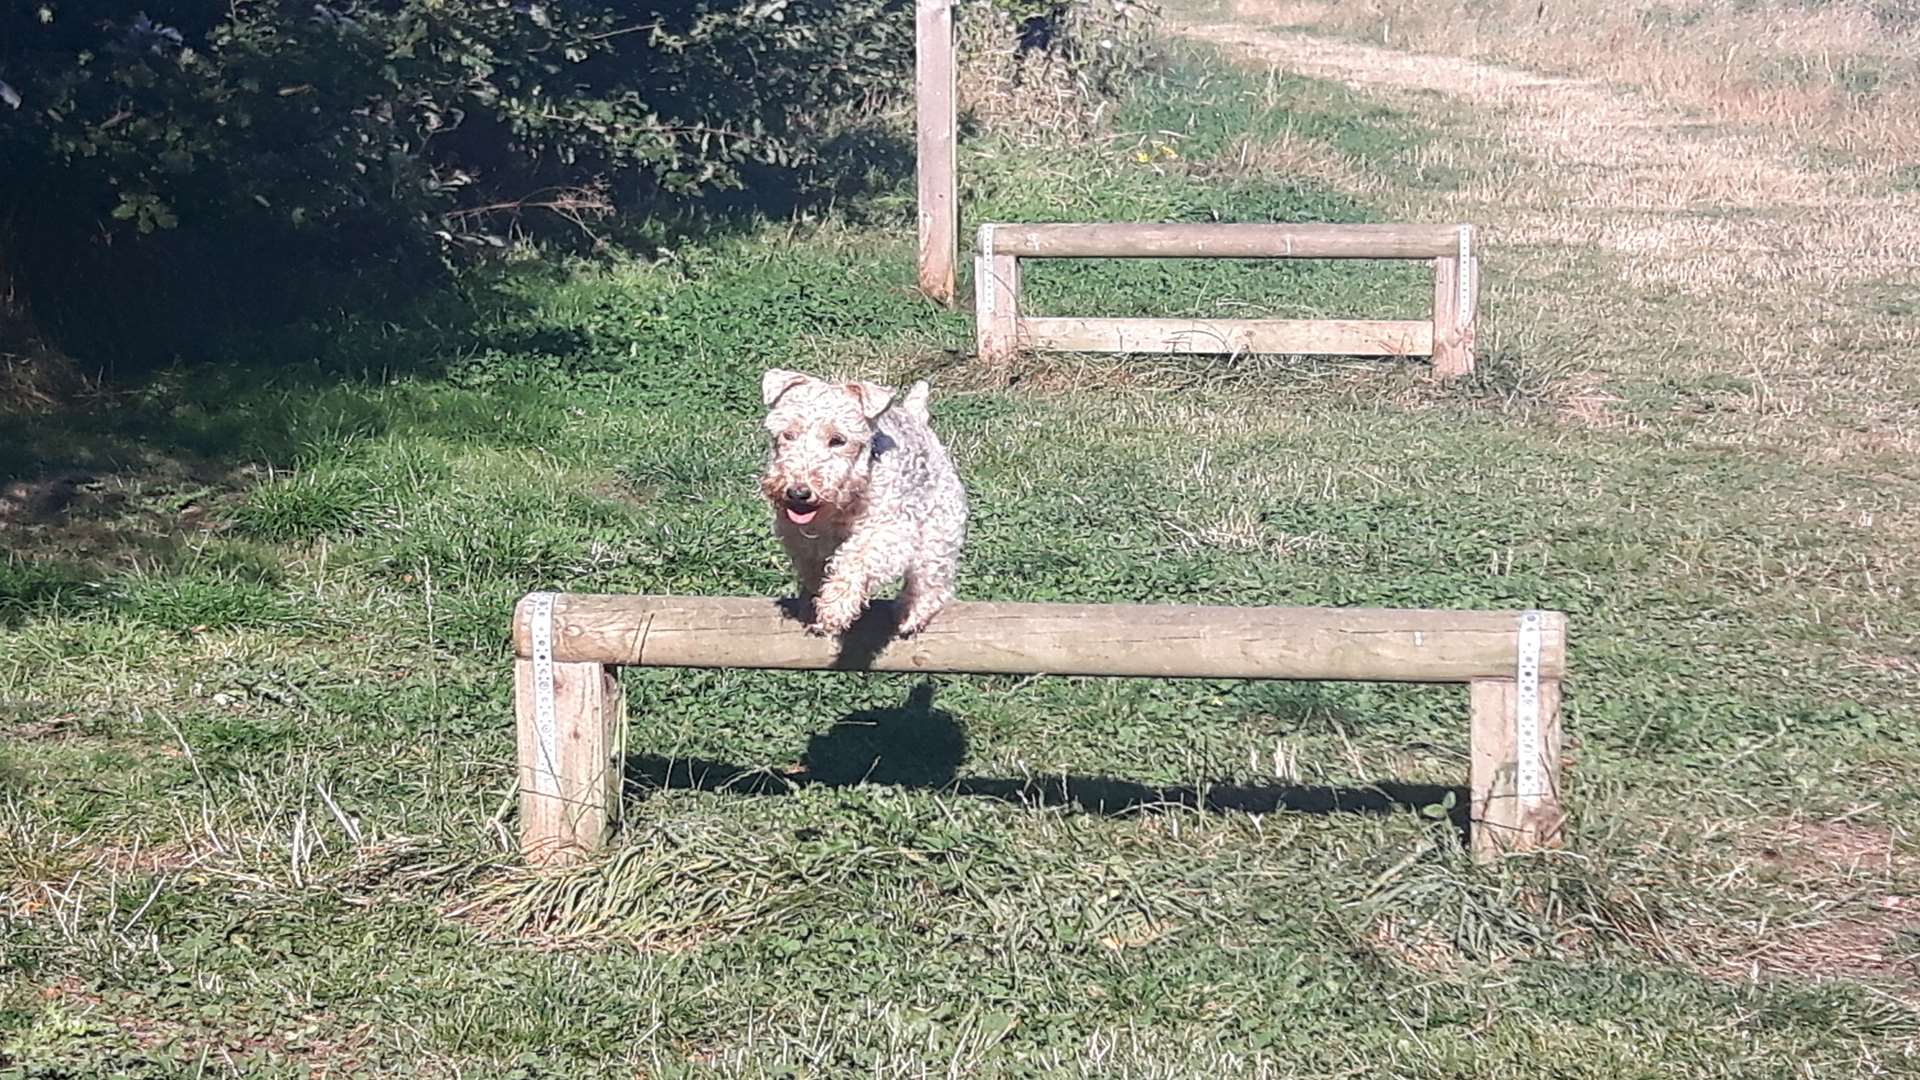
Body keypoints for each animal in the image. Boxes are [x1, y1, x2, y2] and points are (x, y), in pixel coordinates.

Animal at [756, 368, 967, 638]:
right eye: (788, 434)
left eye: (838, 439)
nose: (798, 493)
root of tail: (916, 417)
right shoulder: (801, 539)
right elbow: (816, 571)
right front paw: (815, 607)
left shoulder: (888, 532)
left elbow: (854, 559)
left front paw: (836, 608)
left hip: (938, 532)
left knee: (932, 581)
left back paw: (911, 617)